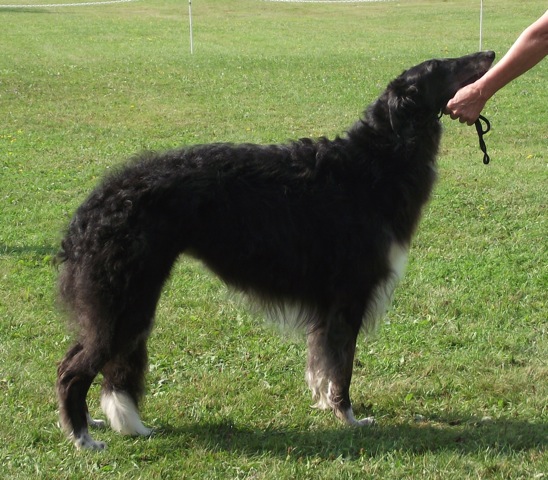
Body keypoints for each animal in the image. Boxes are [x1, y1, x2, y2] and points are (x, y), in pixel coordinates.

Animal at [56, 51, 496, 450]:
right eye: (440, 66)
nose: (490, 52)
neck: (372, 162)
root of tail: (93, 205)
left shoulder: (326, 308)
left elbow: (322, 363)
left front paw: (326, 405)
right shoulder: (349, 297)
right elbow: (343, 367)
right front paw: (349, 417)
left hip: (118, 306)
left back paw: (92, 423)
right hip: (126, 304)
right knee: (71, 371)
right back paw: (82, 439)